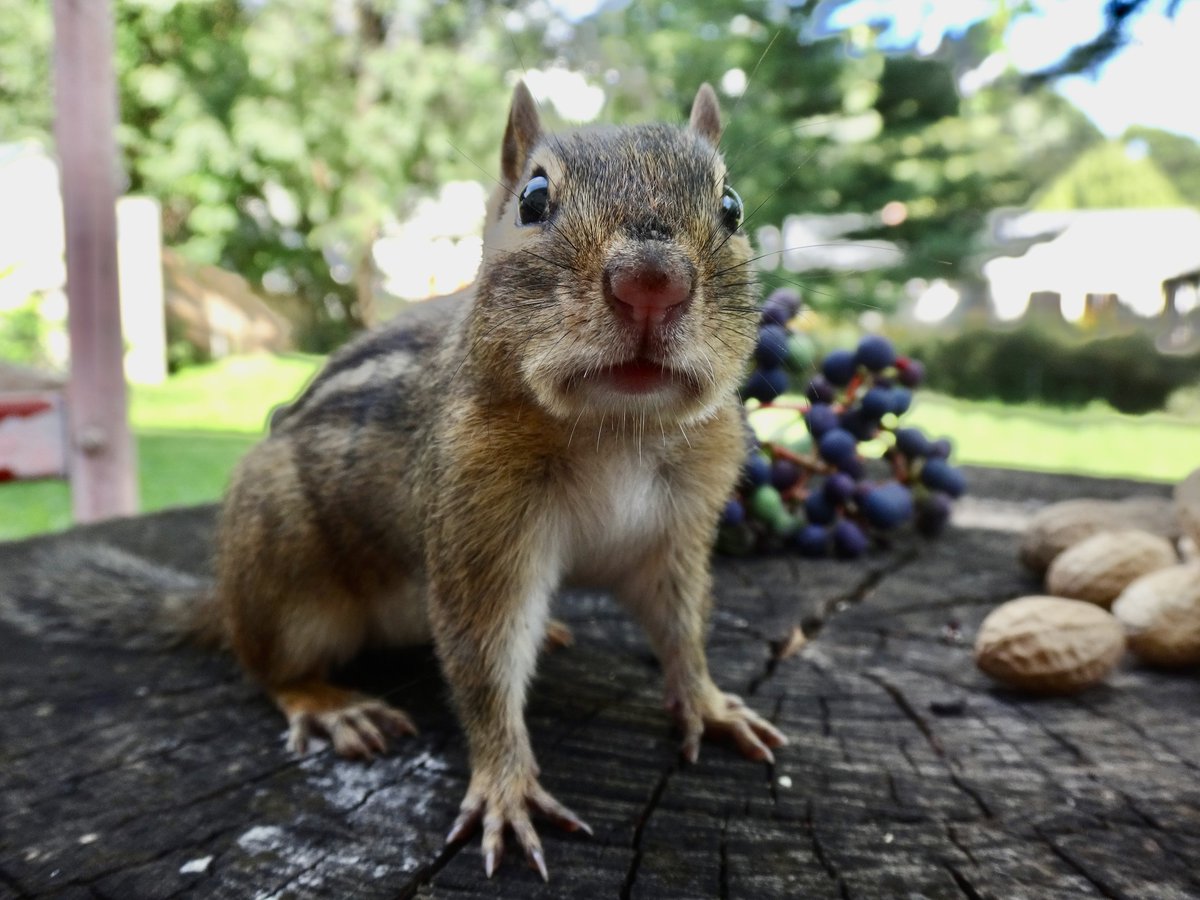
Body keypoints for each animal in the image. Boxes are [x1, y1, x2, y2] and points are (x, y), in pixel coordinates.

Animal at [214, 81, 786, 880]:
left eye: (731, 204)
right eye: (533, 199)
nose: (652, 283)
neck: (620, 430)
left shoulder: (674, 538)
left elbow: (682, 628)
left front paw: (709, 703)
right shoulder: (478, 528)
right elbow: (481, 662)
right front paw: (506, 787)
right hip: (281, 567)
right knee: (269, 669)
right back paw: (330, 705)